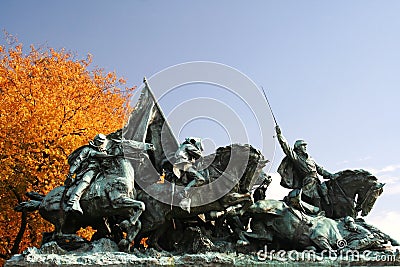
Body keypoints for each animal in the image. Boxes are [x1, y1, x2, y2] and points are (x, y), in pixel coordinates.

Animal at [14, 135, 149, 252]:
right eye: (129, 142)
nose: (150, 145)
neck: (118, 175)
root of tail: (43, 201)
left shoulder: (125, 209)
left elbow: (138, 222)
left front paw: (125, 241)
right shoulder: (118, 201)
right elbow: (141, 206)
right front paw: (126, 226)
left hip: (71, 223)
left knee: (50, 236)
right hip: (60, 217)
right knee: (58, 234)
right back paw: (77, 238)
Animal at [134, 144, 268, 251]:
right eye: (257, 168)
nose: (246, 186)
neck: (222, 171)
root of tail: (141, 192)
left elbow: (241, 203)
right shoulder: (227, 199)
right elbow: (248, 198)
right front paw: (238, 212)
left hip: (164, 221)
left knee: (151, 240)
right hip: (154, 221)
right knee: (138, 231)